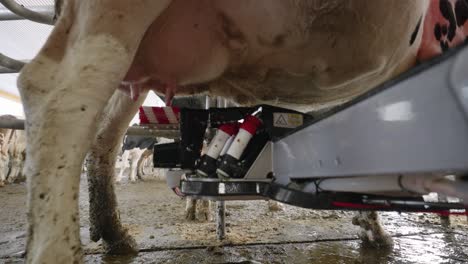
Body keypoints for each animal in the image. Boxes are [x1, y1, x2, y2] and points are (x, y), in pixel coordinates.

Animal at [15, 0, 468, 262]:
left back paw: (115, 235)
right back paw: (59, 249)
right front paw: (373, 225)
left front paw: (368, 221)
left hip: (134, 62)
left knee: (103, 134)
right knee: (57, 94)